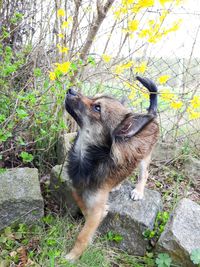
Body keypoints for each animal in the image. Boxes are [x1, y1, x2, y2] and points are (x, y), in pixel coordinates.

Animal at [65, 76, 159, 262]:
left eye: (97, 107)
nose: (70, 90)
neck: (87, 157)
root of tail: (150, 115)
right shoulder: (75, 188)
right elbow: (83, 205)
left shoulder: (95, 204)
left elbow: (82, 236)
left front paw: (72, 256)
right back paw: (116, 186)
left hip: (144, 158)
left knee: (143, 174)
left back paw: (138, 191)